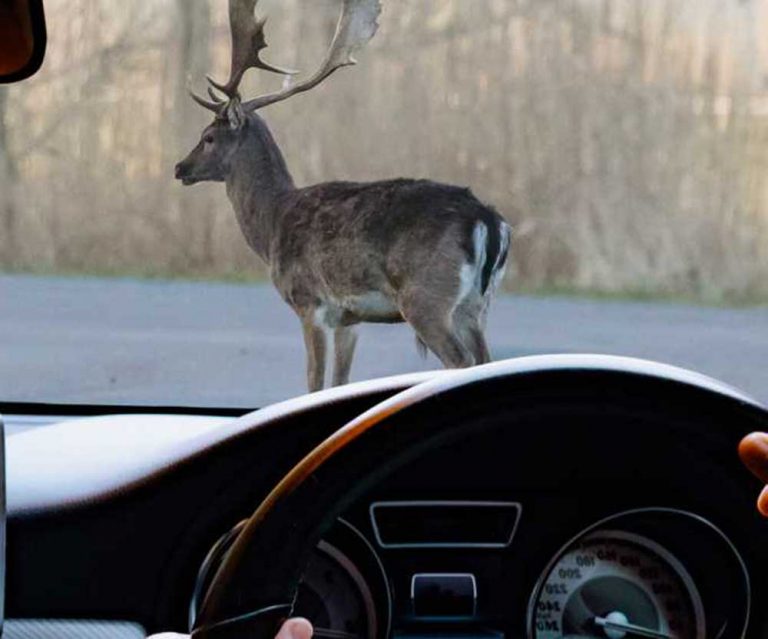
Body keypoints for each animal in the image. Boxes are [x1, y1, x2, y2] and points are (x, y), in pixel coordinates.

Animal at [174, 0, 510, 392]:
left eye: (208, 137)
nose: (180, 167)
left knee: (461, 361)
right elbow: (341, 380)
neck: (273, 223)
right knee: (487, 359)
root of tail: (487, 220)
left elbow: (314, 380)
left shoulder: (310, 302)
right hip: (477, 305)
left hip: (427, 297)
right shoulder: (350, 318)